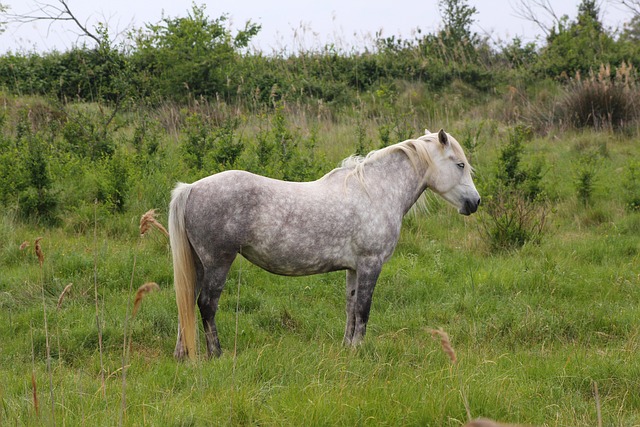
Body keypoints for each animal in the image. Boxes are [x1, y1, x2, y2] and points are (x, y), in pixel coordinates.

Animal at [169, 129, 480, 360]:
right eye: (460, 164)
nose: (475, 202)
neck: (375, 191)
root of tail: (191, 188)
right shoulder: (371, 264)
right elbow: (363, 309)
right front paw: (360, 349)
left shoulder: (354, 269)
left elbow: (351, 307)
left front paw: (347, 348)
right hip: (218, 262)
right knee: (206, 304)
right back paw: (216, 354)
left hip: (198, 264)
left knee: (187, 302)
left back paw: (184, 355)